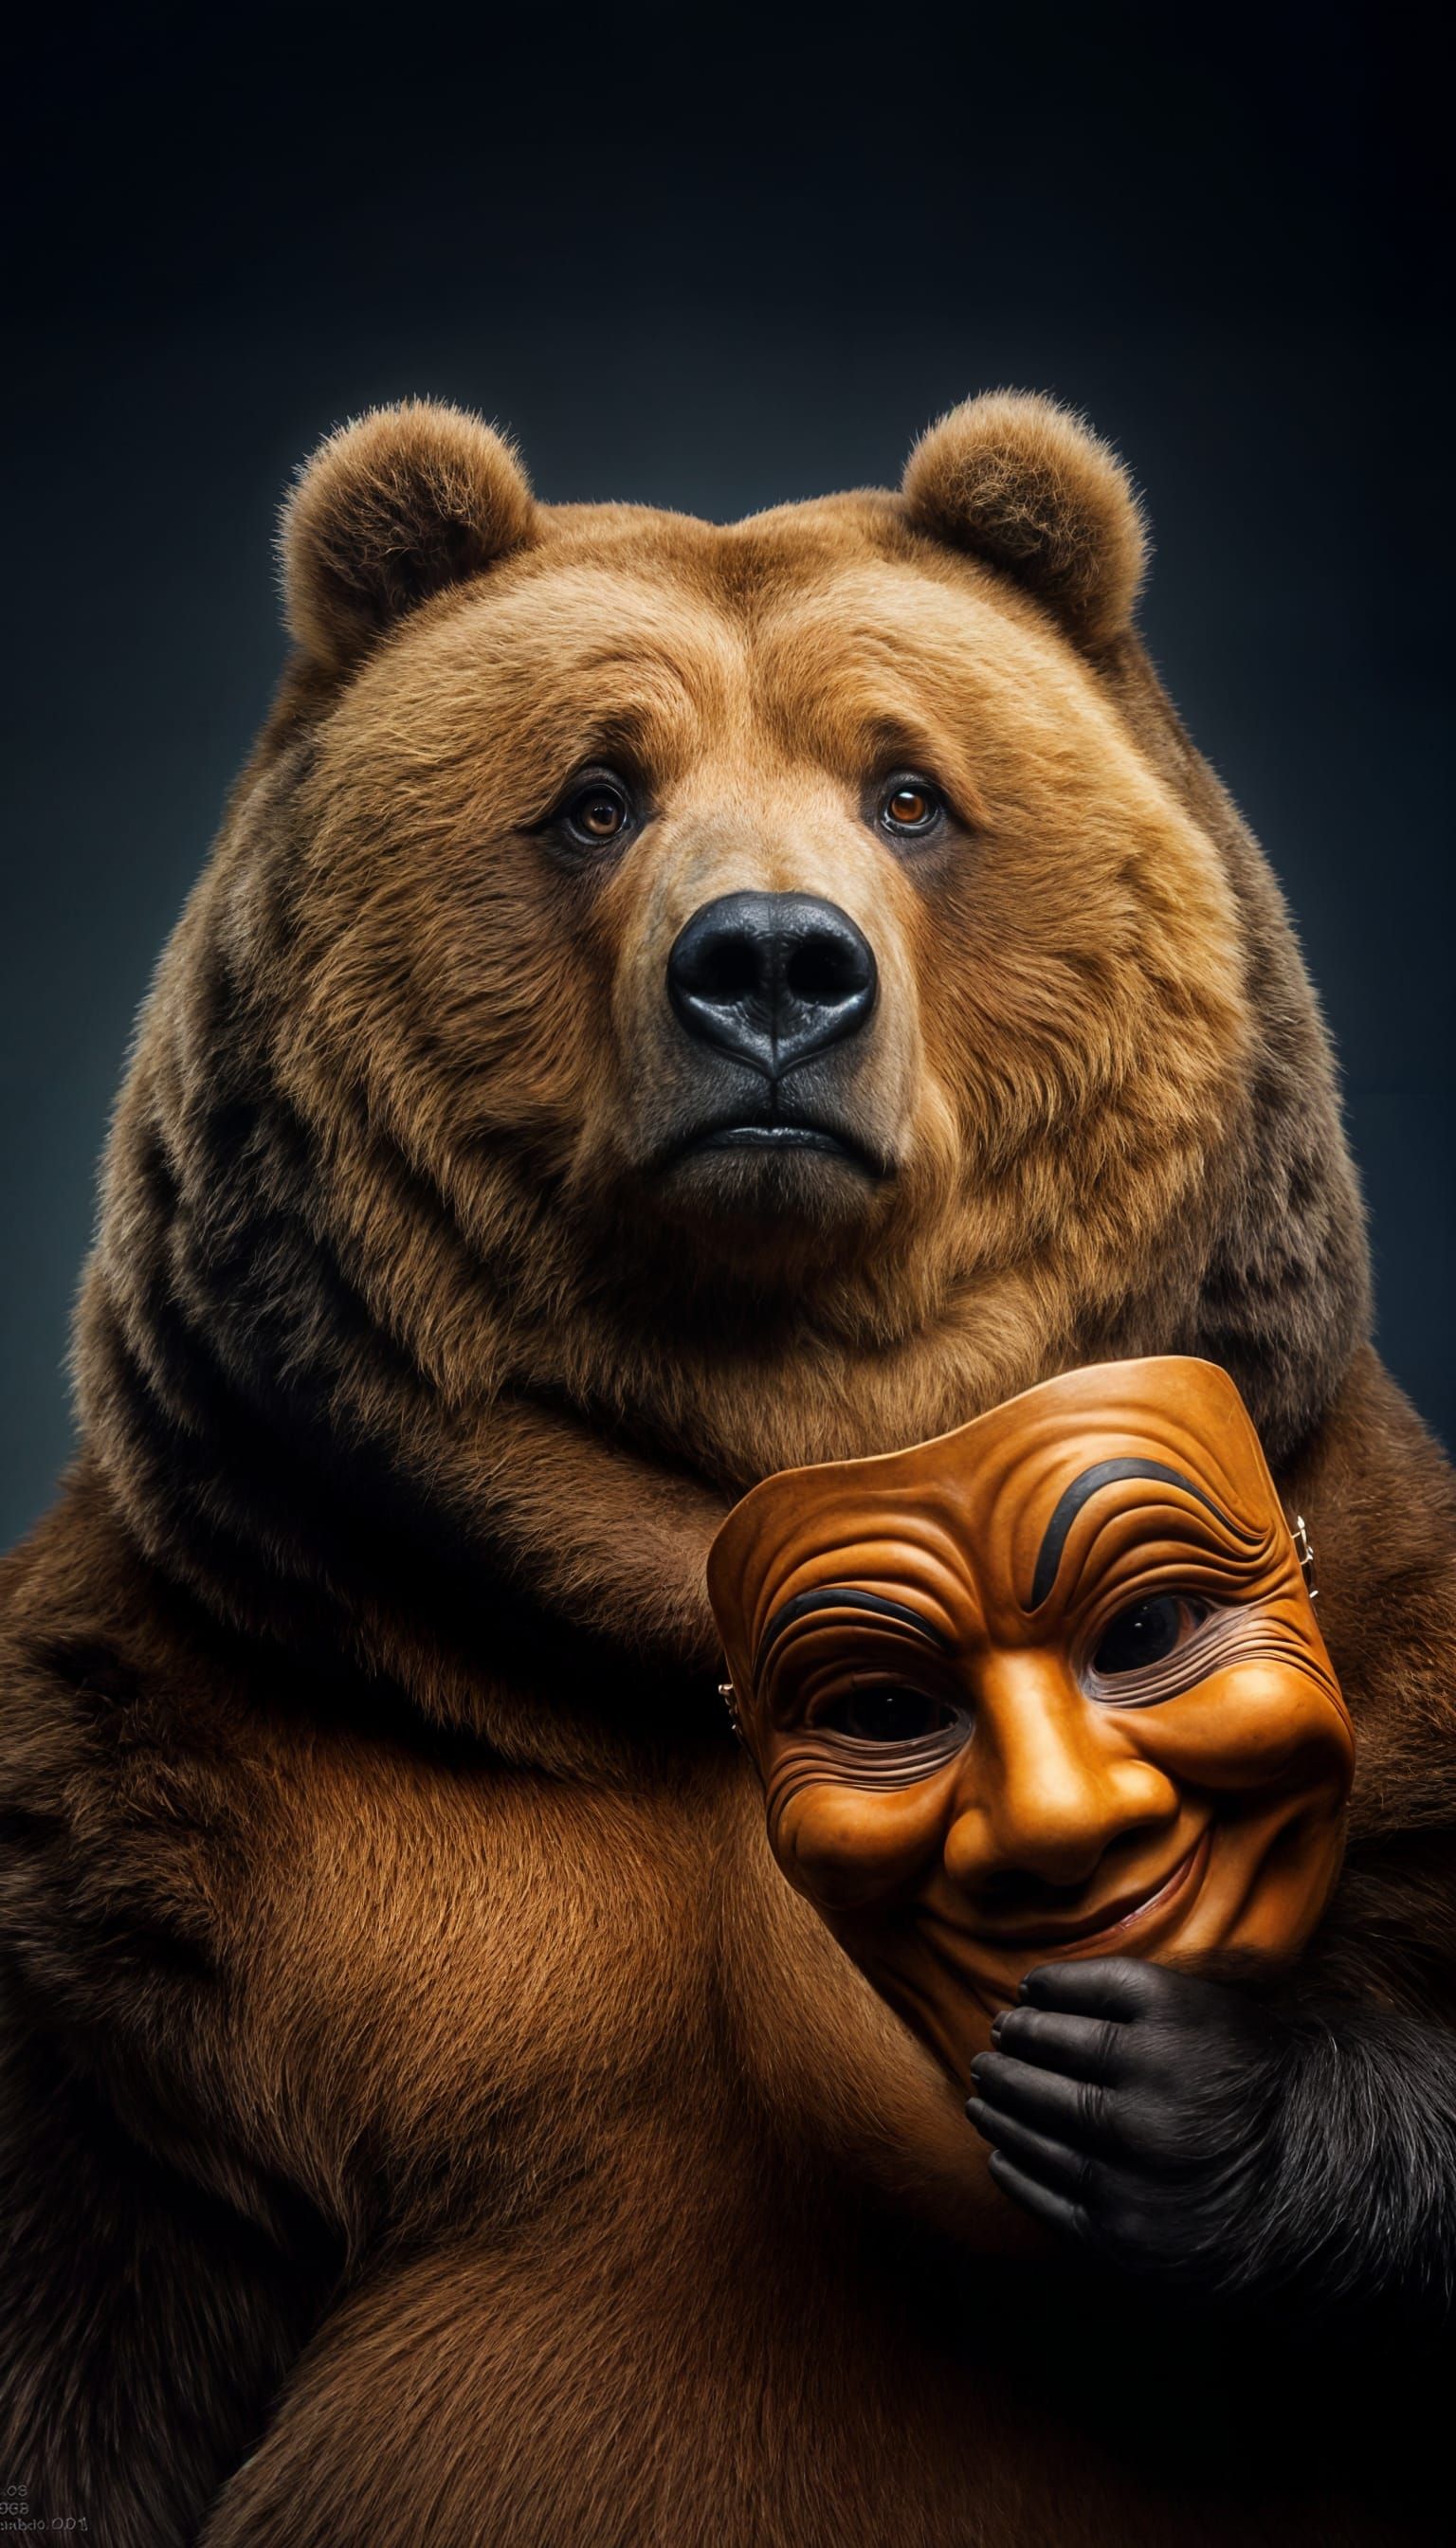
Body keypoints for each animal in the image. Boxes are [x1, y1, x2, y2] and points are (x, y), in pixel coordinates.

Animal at [1, 391, 1453, 2548]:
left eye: (909, 790)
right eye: (594, 794)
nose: (771, 963)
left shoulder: (1367, 1581)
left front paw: (1153, 2089)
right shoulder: (166, 1785)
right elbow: (92, 2279)